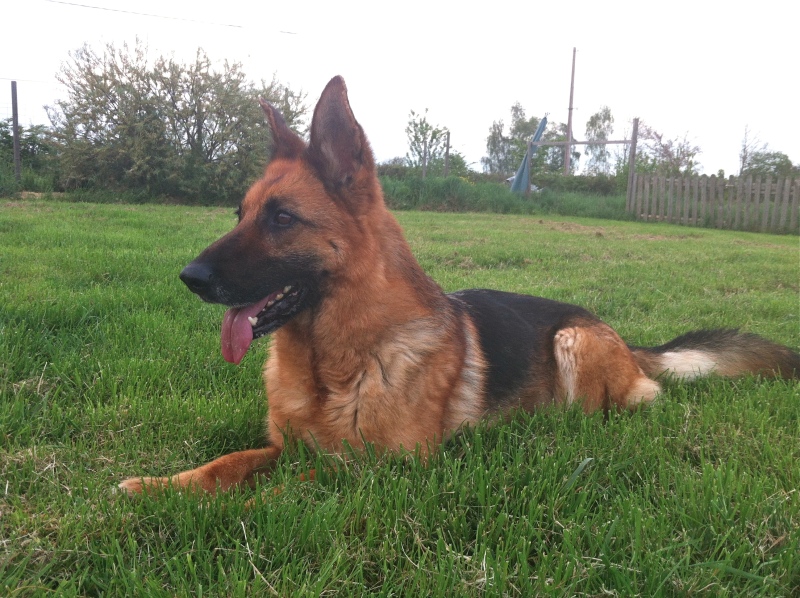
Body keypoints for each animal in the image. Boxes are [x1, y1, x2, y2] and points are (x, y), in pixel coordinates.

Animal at [119, 76, 799, 496]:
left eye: (282, 218)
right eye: (239, 214)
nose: (188, 278)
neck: (339, 360)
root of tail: (625, 340)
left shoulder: (379, 468)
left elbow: (289, 484)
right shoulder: (285, 446)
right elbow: (229, 463)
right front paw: (160, 488)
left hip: (573, 344)